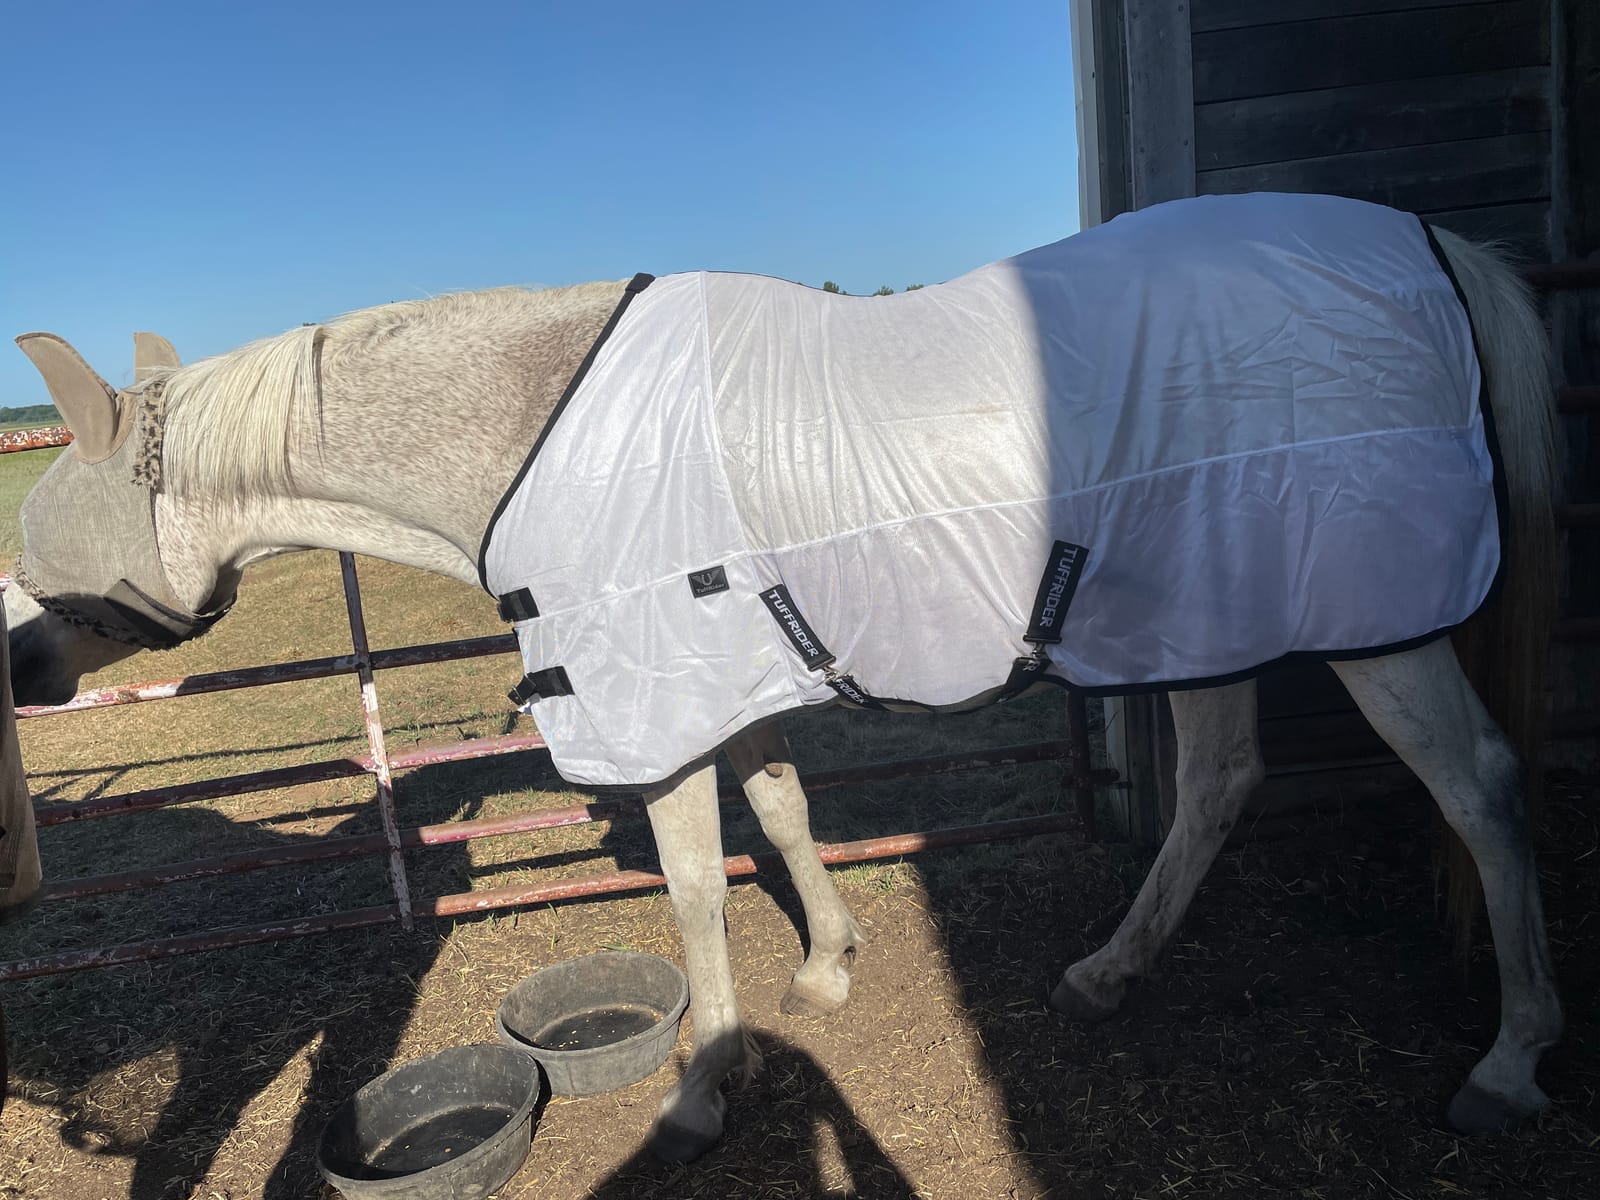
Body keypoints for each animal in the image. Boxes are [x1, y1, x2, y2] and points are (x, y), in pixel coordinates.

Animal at [4, 193, 1563, 1164]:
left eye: (41, 521)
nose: (22, 662)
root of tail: (1425, 243)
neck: (532, 430)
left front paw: (704, 1087)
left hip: (1374, 623)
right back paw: (1108, 974)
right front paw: (823, 968)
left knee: (1482, 790)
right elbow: (787, 816)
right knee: (1222, 785)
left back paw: (1508, 1064)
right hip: (1210, 604)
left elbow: (695, 886)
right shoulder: (731, 677)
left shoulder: (659, 704)